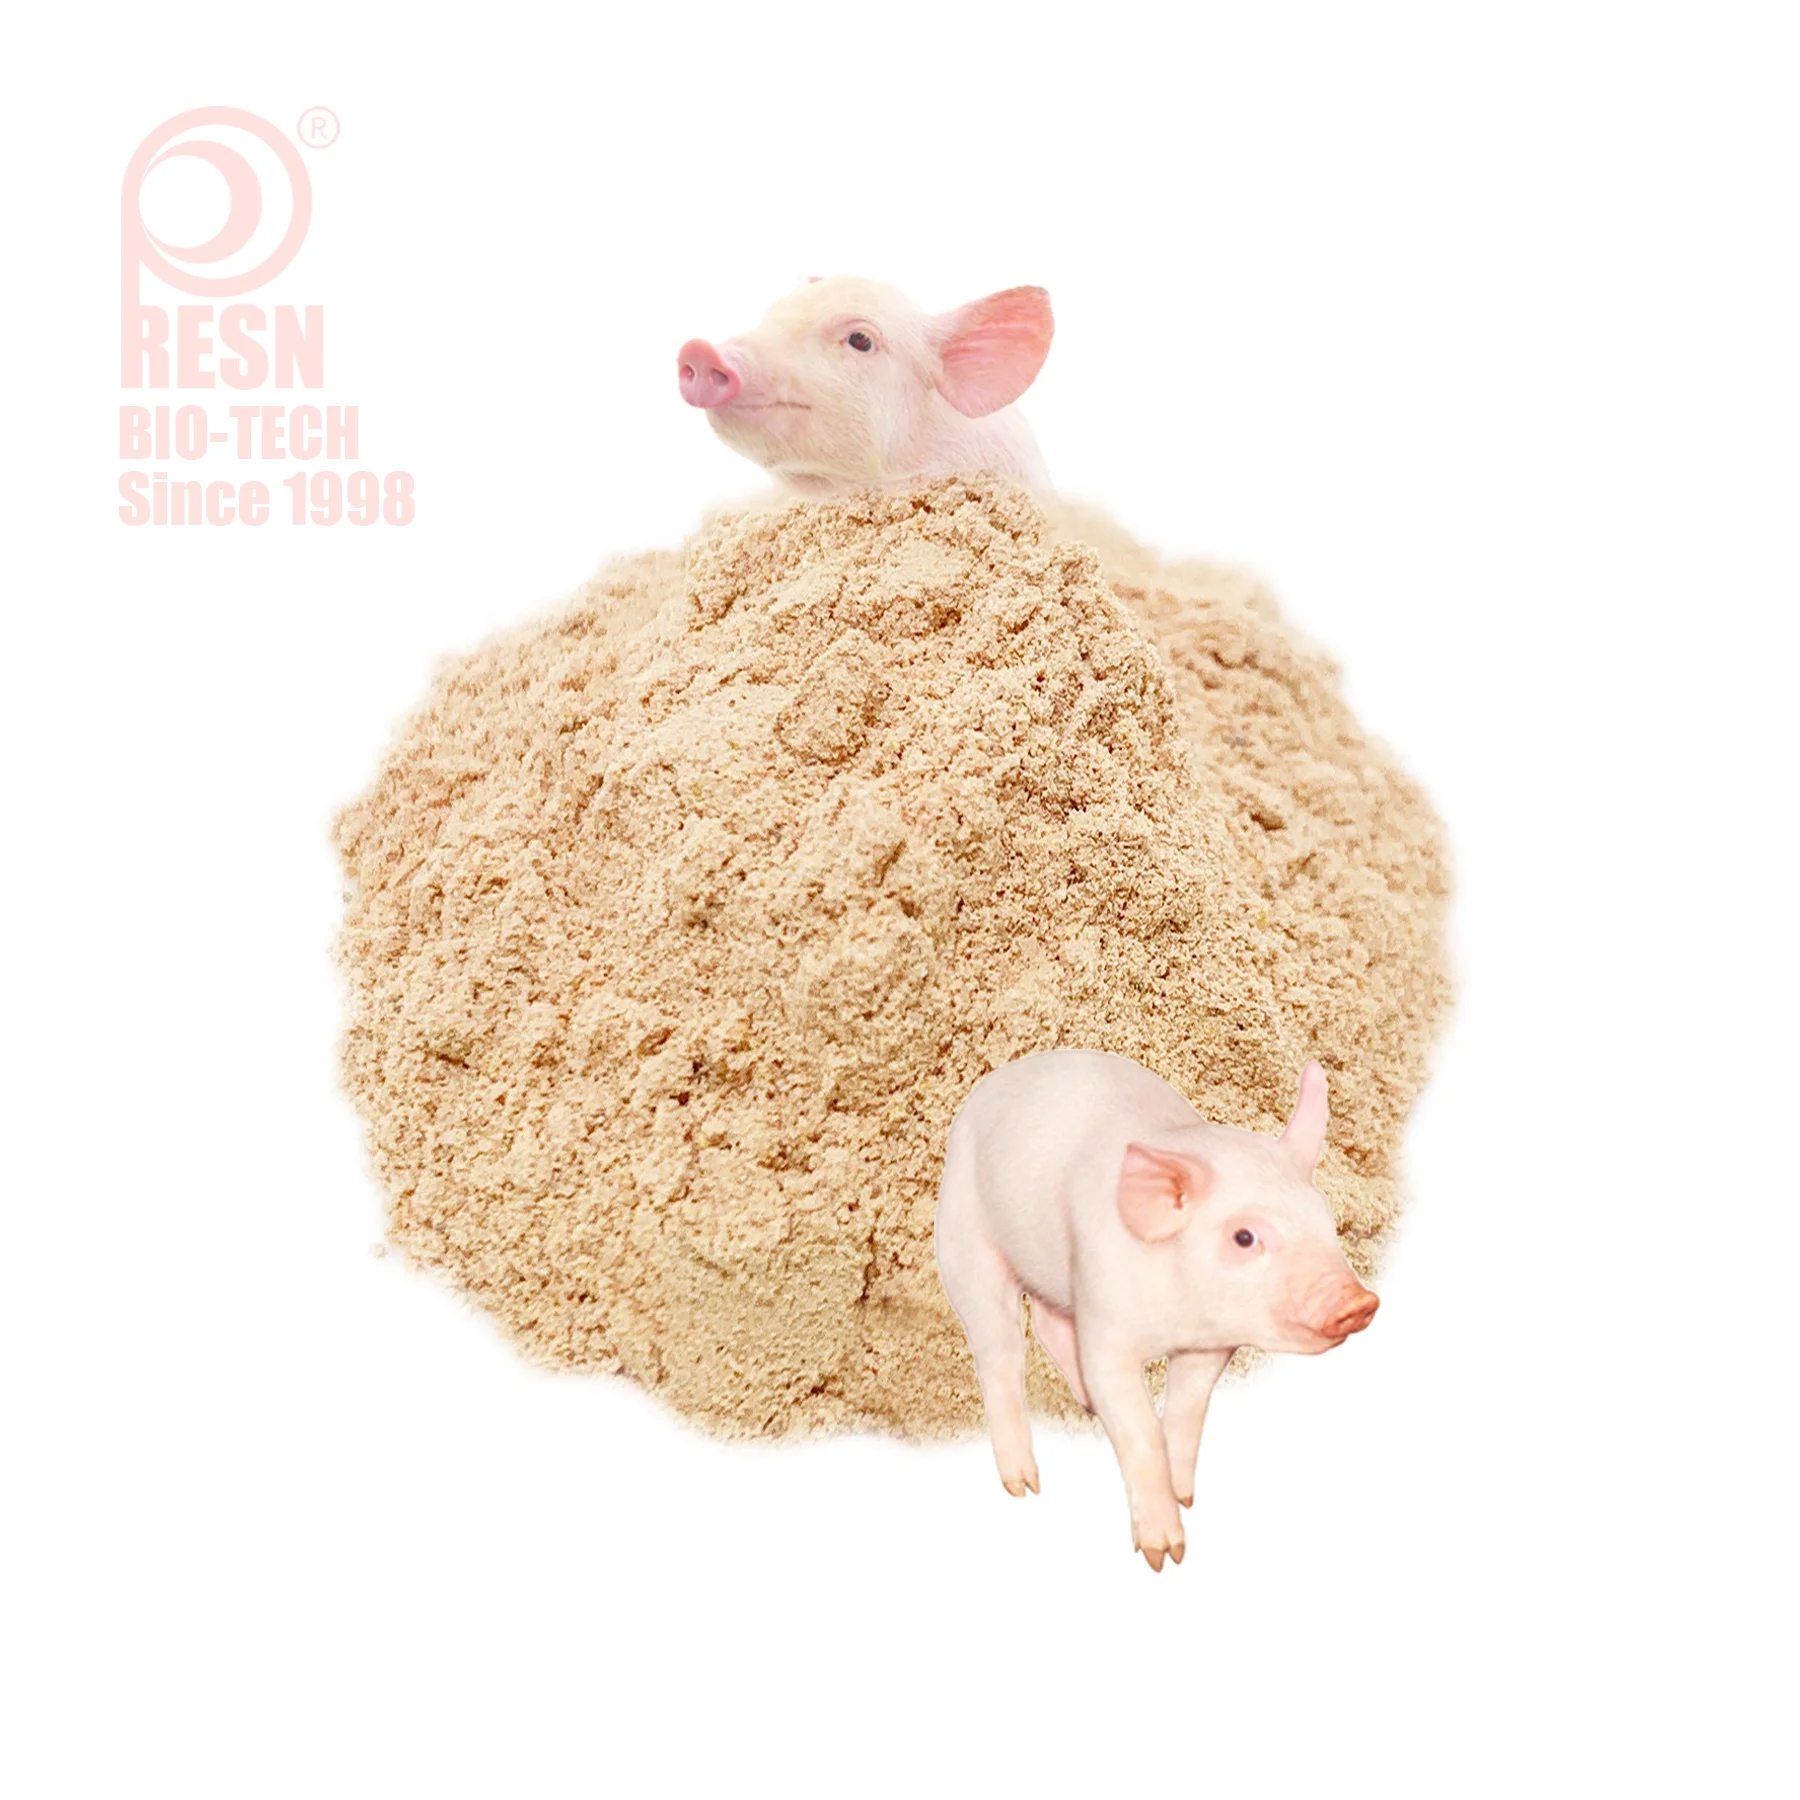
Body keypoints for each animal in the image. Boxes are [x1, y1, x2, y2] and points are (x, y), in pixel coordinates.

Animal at [933, 1050, 1380, 1571]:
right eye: (1244, 1237)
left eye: (1326, 1220)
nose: (1359, 1302)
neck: (1175, 1319)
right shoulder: (1104, 1315)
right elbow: (1139, 1426)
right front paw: (1165, 1555)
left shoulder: (1208, 1346)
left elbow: (1188, 1408)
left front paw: (1185, 1497)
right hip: (966, 1239)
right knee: (999, 1351)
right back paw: (1024, 1486)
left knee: (1045, 1322)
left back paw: (1086, 1407)